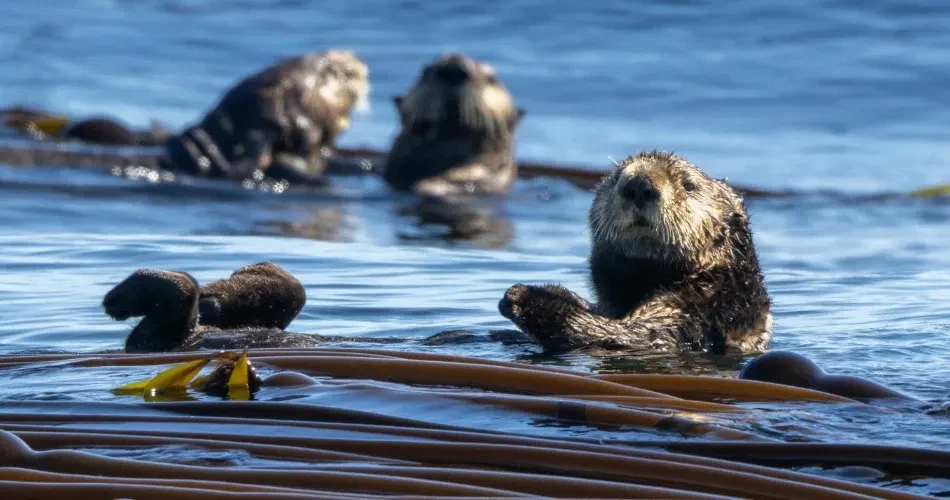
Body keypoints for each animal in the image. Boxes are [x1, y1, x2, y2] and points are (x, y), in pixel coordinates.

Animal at [498, 150, 773, 354]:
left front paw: (522, 296)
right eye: (616, 177)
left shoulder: (696, 317)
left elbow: (624, 335)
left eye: (689, 185)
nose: (639, 184)